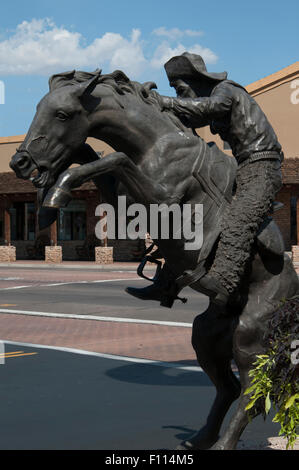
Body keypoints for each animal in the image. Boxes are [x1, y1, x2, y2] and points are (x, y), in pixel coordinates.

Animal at [9, 69, 299, 448]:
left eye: (62, 114)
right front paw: (47, 202)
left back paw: (223, 442)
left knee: (253, 390)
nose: (20, 162)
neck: (156, 145)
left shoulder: (158, 199)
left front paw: (55, 194)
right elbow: (94, 159)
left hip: (250, 335)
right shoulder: (121, 198)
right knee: (229, 387)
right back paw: (200, 438)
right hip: (206, 335)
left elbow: (112, 159)